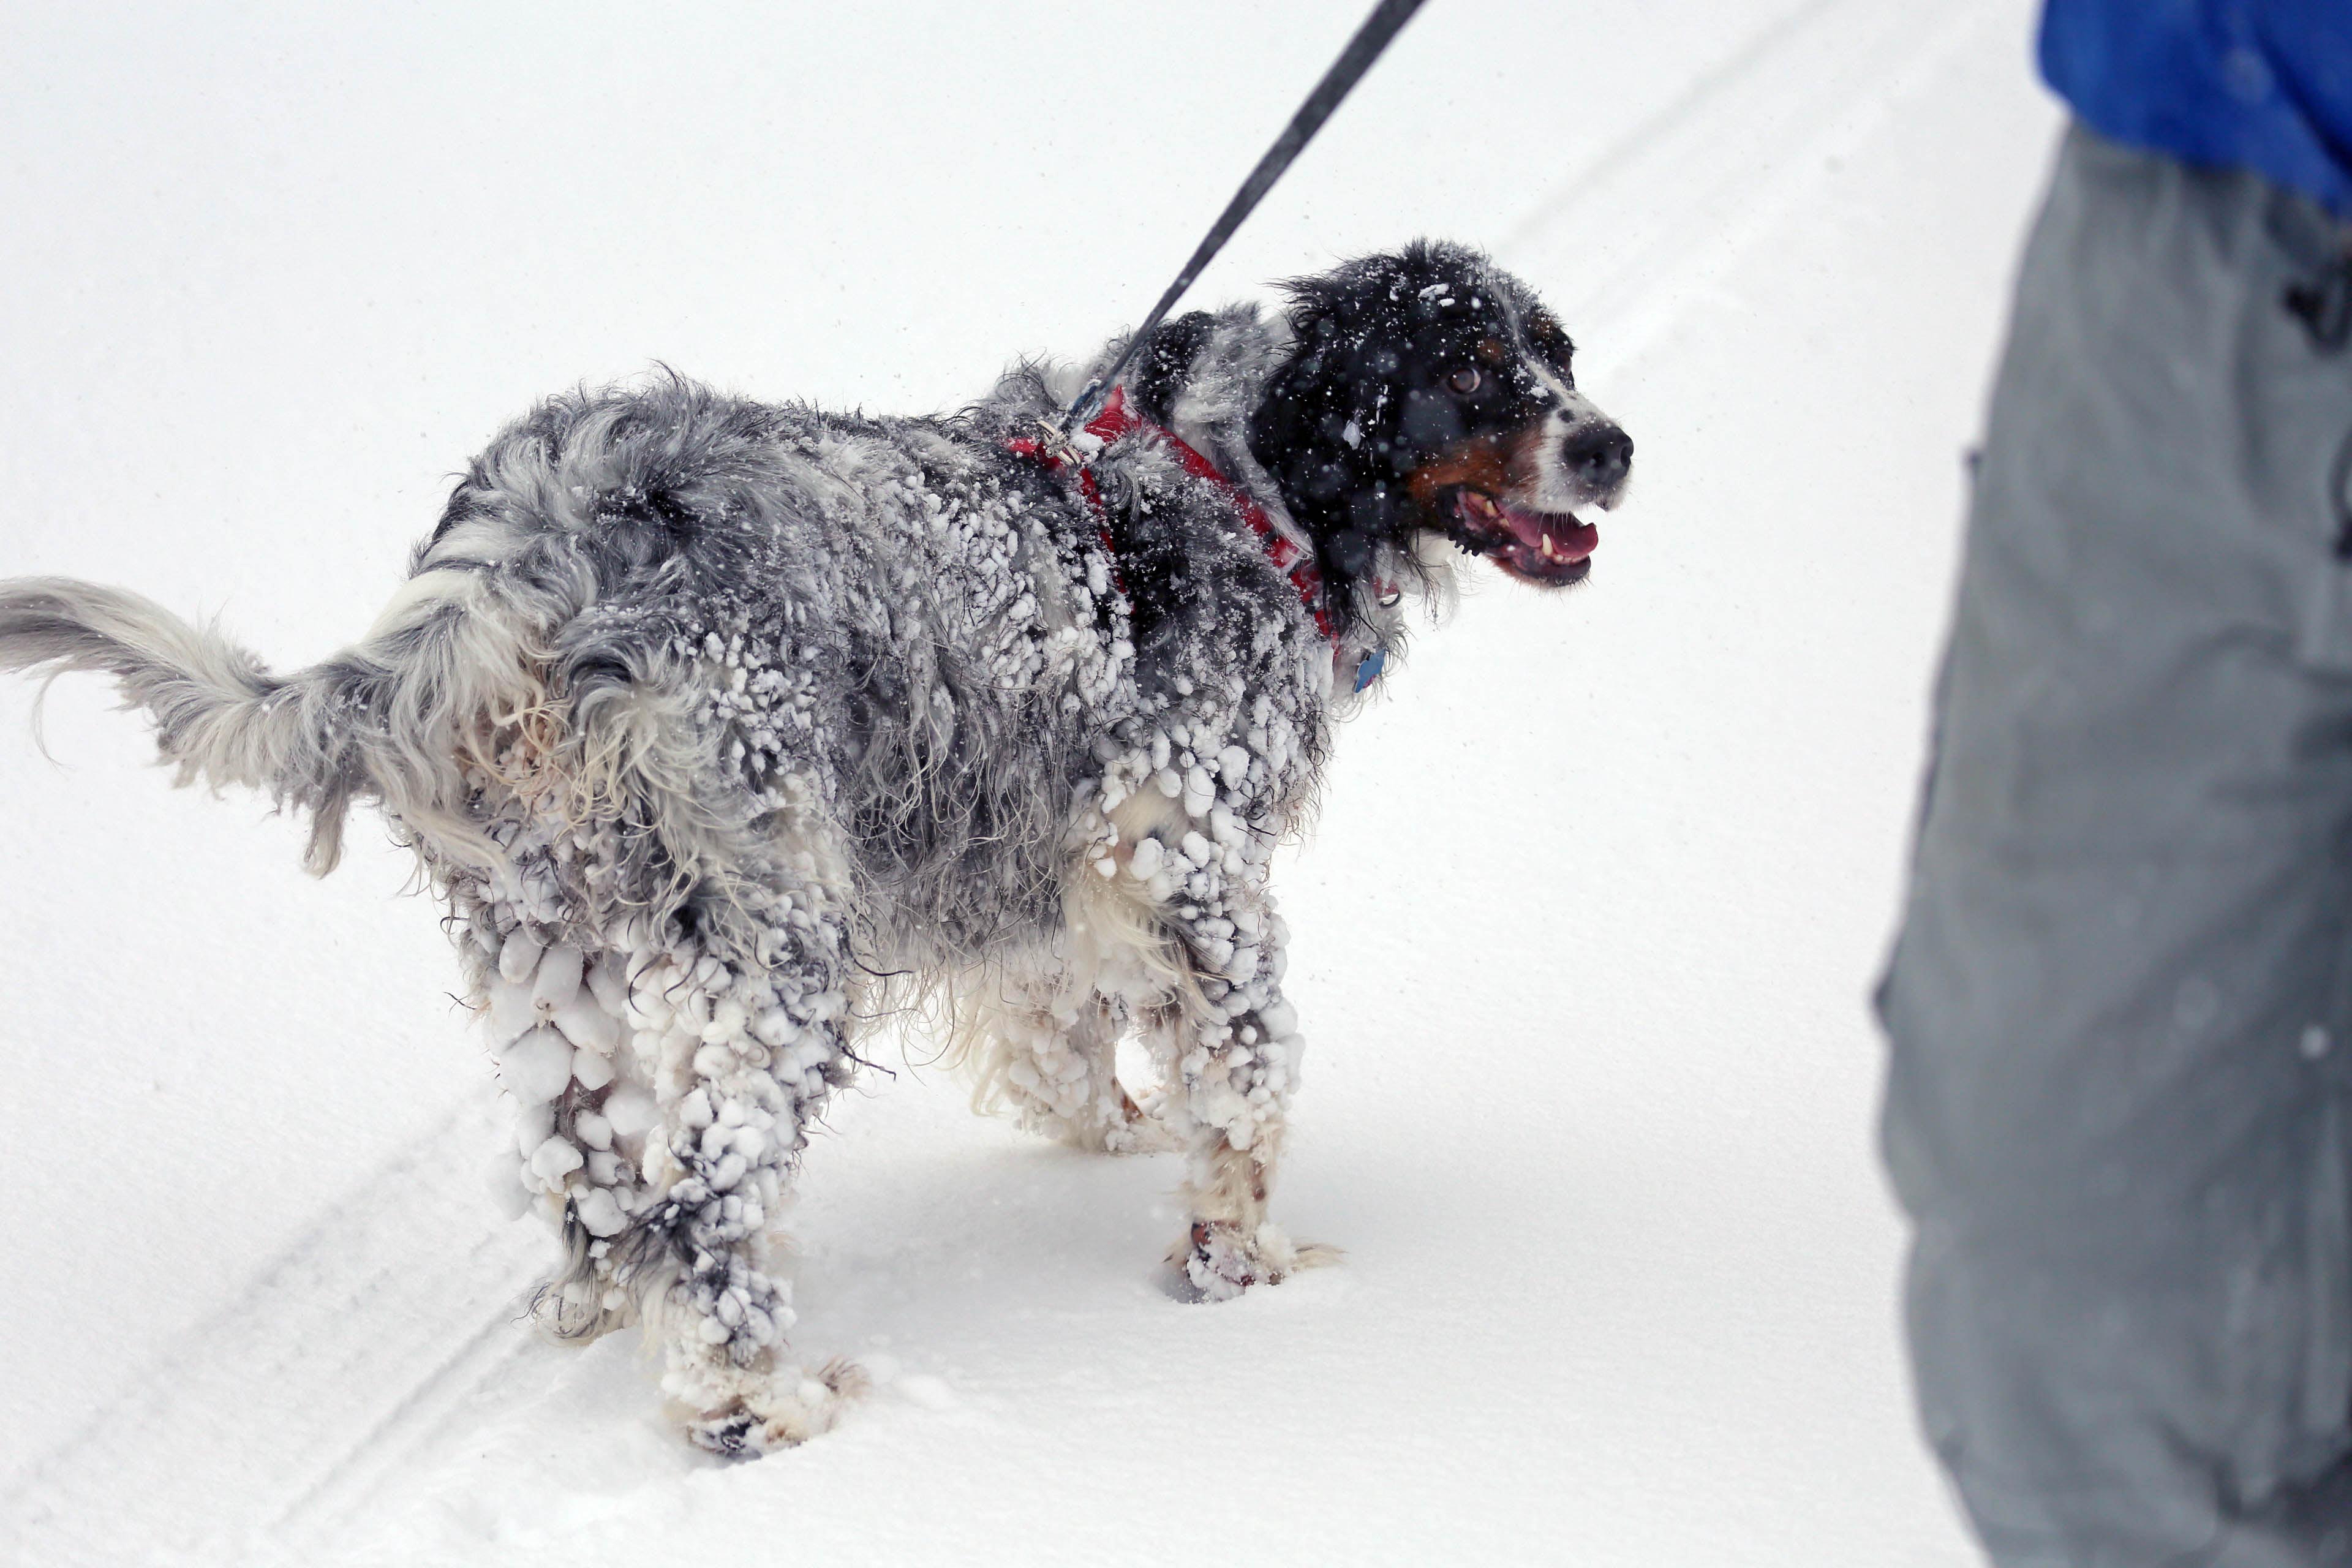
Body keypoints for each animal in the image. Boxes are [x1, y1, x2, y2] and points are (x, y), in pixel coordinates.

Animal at [0, 239, 1618, 1457]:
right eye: (1470, 366)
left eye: (1559, 348)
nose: (1613, 443)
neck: (1244, 480)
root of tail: (525, 542)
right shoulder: (1187, 856)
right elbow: (1247, 1075)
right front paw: (1247, 1269)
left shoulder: (1042, 876)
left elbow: (1076, 1051)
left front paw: (1120, 1146)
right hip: (775, 945)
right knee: (698, 1204)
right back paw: (752, 1409)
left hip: (548, 949)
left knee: (594, 1182)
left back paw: (607, 1315)